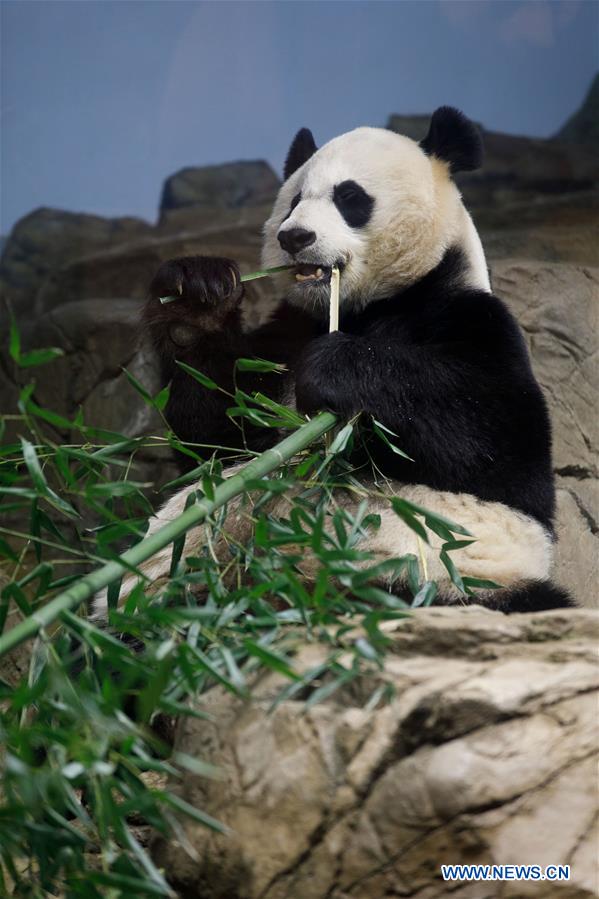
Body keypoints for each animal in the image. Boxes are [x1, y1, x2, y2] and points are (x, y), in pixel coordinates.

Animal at [96, 103, 576, 612]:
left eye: (350, 197)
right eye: (293, 201)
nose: (294, 236)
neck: (364, 307)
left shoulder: (472, 320)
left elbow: (495, 438)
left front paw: (335, 369)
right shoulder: (284, 337)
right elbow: (218, 434)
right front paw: (196, 296)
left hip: (454, 580)